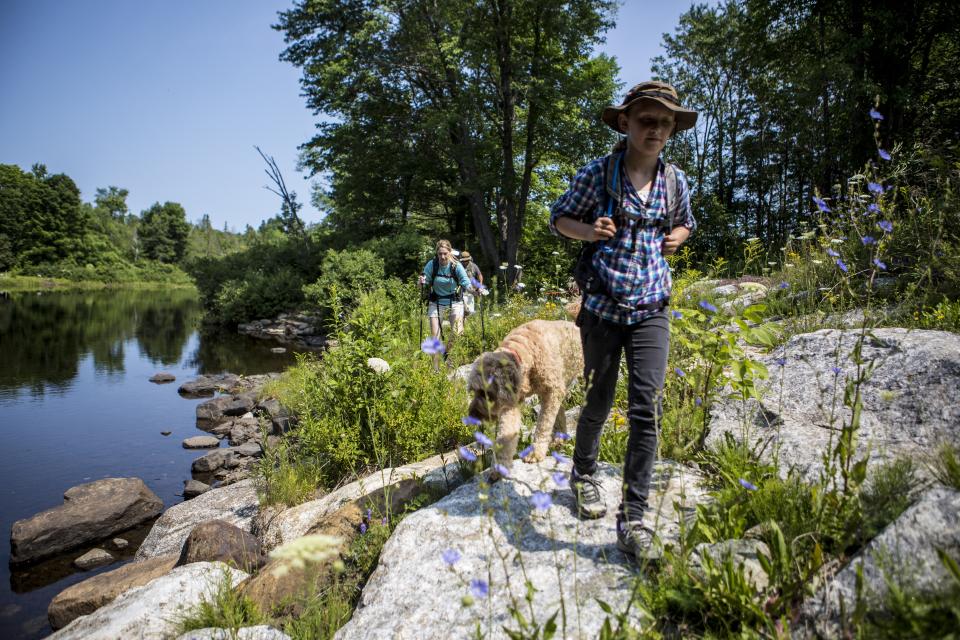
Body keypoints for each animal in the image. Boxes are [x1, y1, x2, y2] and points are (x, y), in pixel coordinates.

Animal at [466, 318, 580, 472]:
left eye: (487, 394)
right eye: (475, 391)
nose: (472, 415)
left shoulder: (553, 391)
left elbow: (543, 425)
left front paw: (535, 452)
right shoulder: (510, 403)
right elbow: (506, 433)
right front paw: (500, 465)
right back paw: (559, 438)